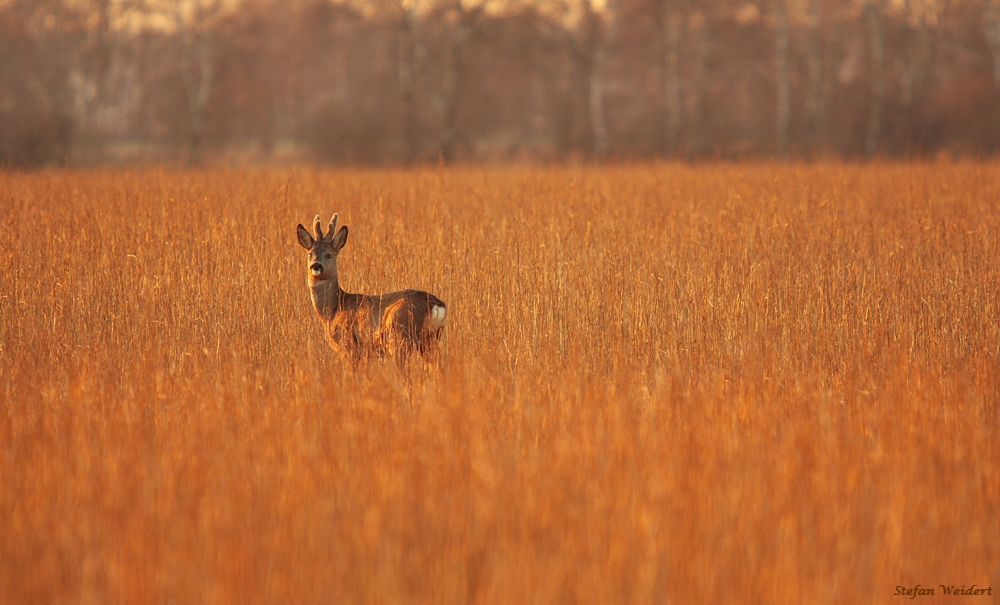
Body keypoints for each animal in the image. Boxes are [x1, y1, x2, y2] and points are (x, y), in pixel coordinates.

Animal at [294, 215, 448, 360]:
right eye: (310, 254)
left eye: (328, 255)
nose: (316, 266)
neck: (333, 310)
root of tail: (436, 306)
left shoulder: (350, 346)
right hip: (429, 341)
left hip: (400, 337)